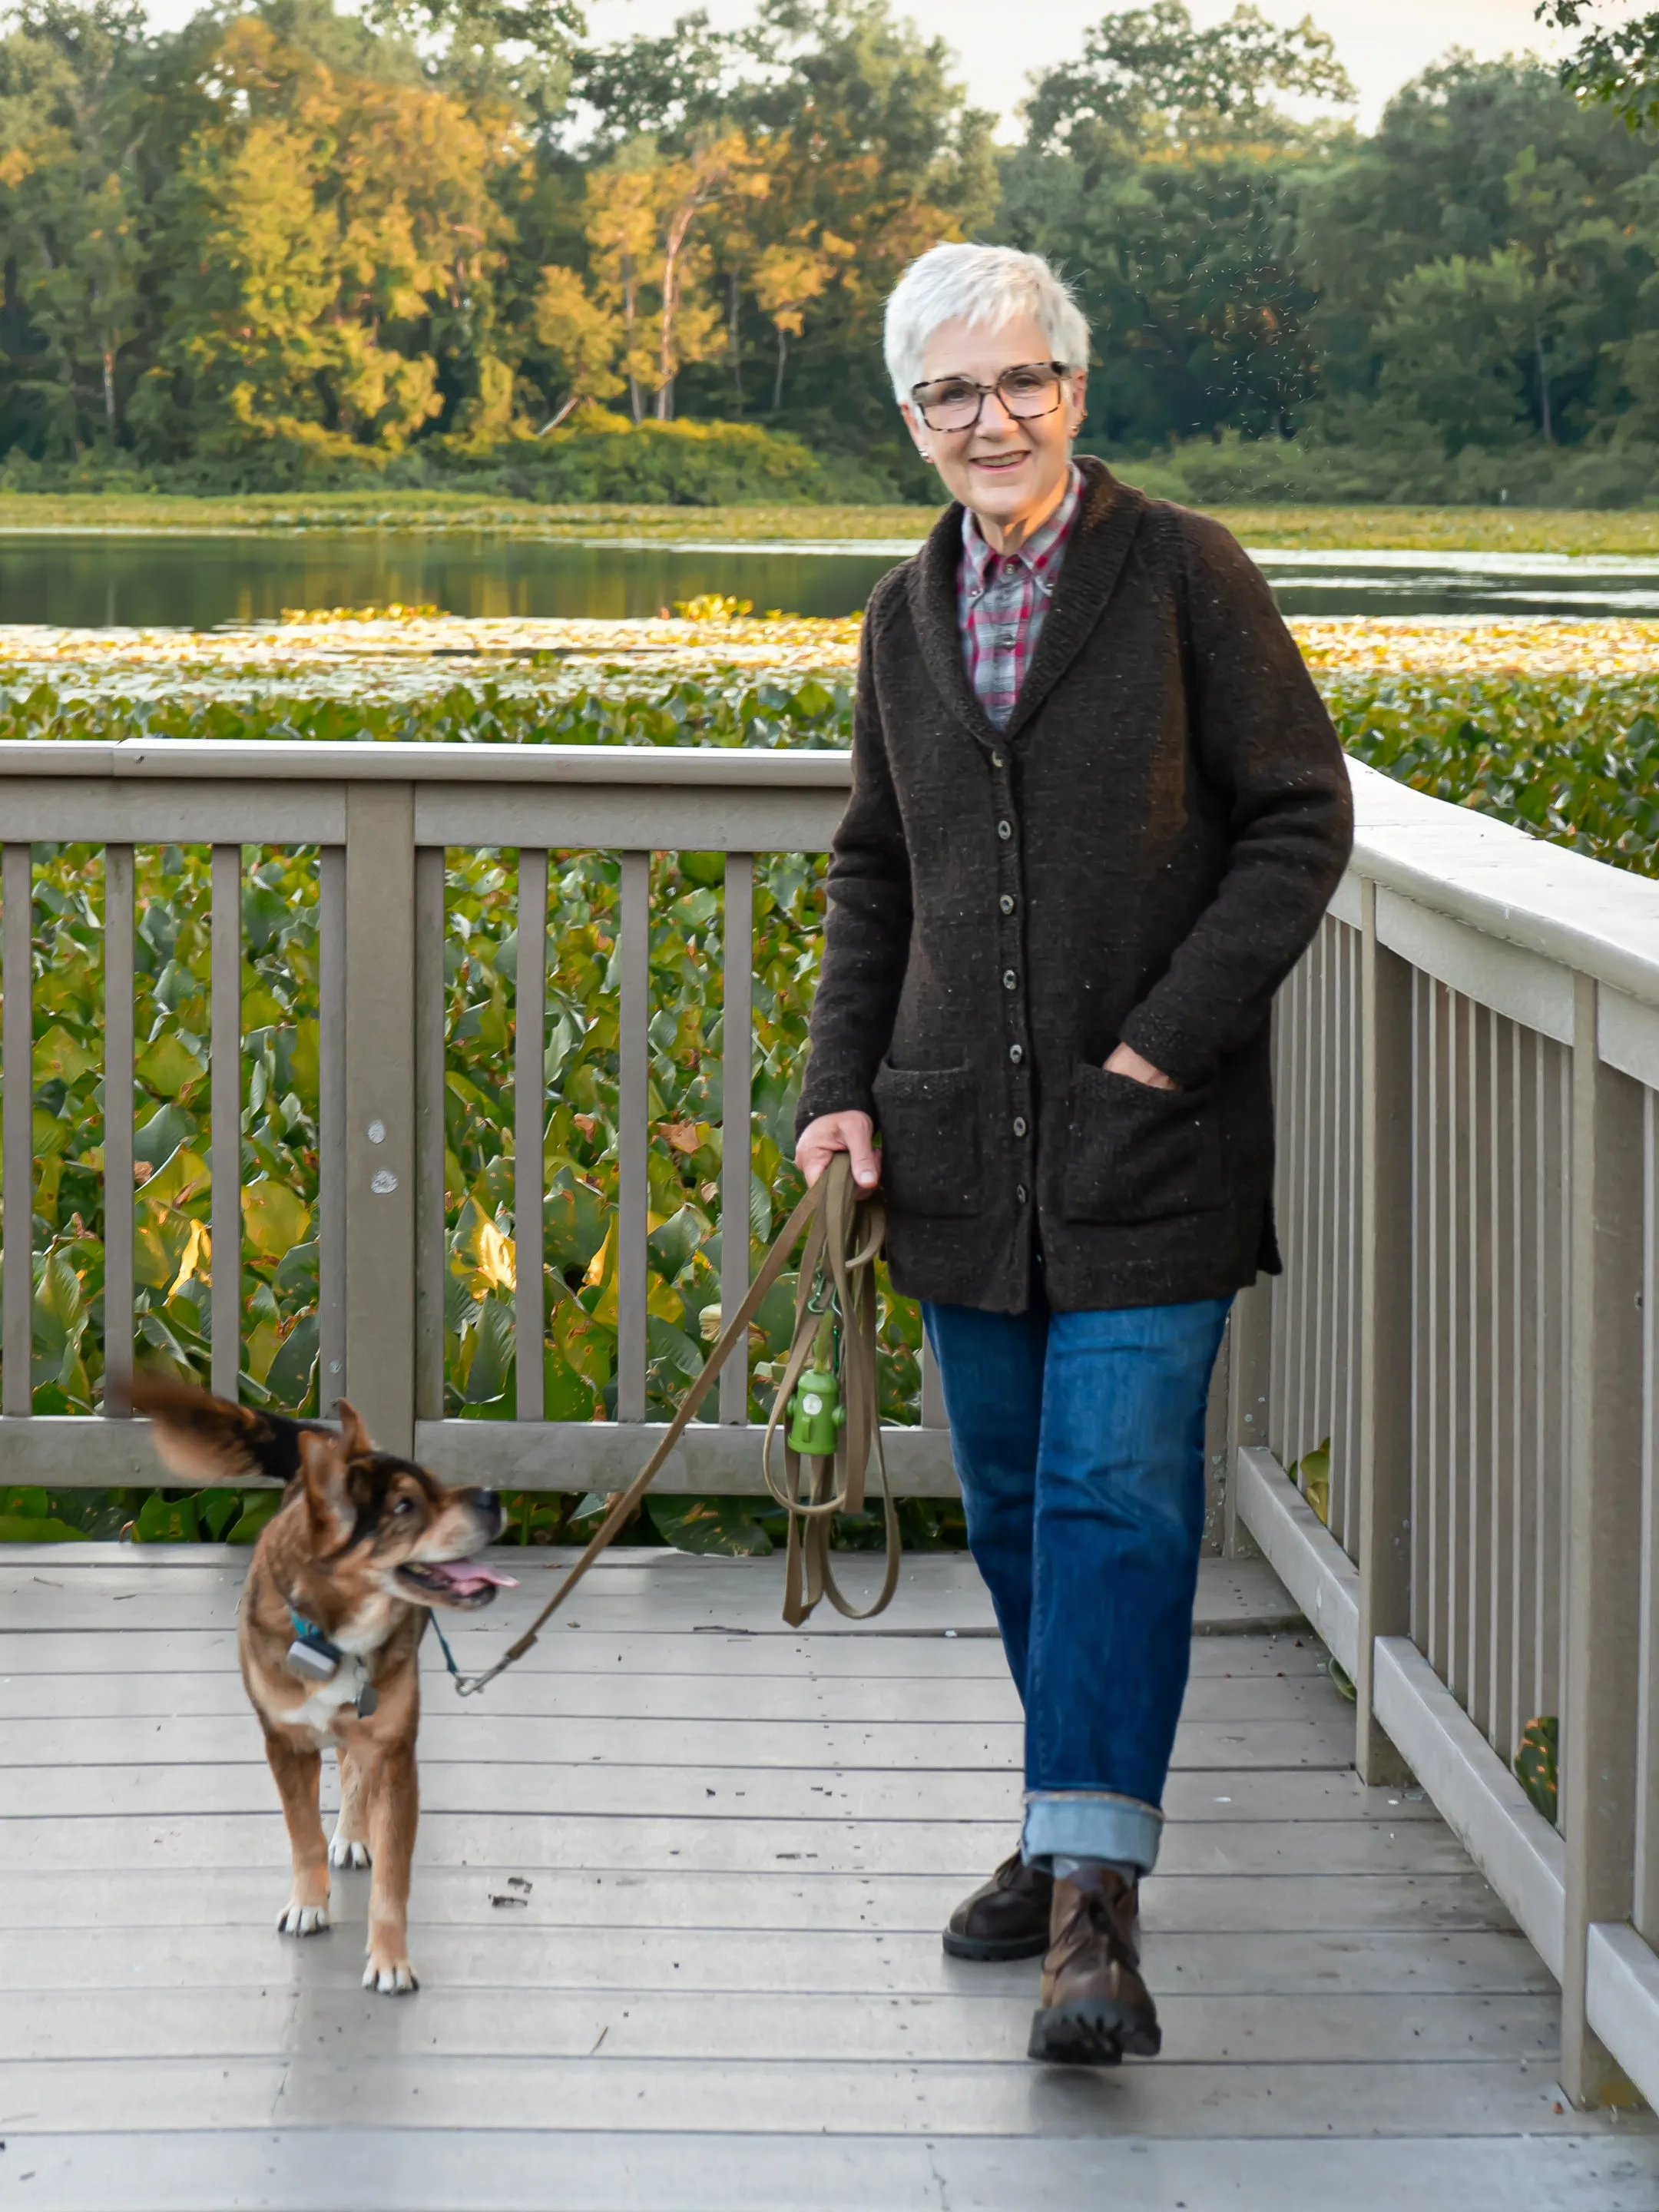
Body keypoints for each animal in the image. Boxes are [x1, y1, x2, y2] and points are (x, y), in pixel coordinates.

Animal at [131, 1371, 513, 1999]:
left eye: (436, 1482)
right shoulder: (284, 1745)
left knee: (355, 1768)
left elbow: (392, 1878)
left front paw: (389, 1958)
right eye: (406, 1505)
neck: (336, 1636)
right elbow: (303, 1833)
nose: (493, 1496)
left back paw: (355, 1832)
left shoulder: (396, 1753)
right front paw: (309, 1904)